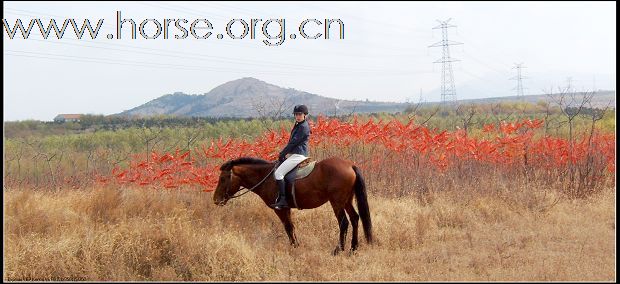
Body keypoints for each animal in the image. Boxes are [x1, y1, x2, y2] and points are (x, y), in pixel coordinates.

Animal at [212, 156, 372, 254]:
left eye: (223, 178)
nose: (216, 200)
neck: (266, 177)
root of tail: (350, 165)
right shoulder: (287, 209)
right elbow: (292, 227)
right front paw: (297, 245)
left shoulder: (280, 209)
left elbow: (288, 227)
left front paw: (294, 247)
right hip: (347, 200)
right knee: (355, 218)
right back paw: (353, 248)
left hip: (337, 202)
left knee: (344, 222)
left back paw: (338, 250)